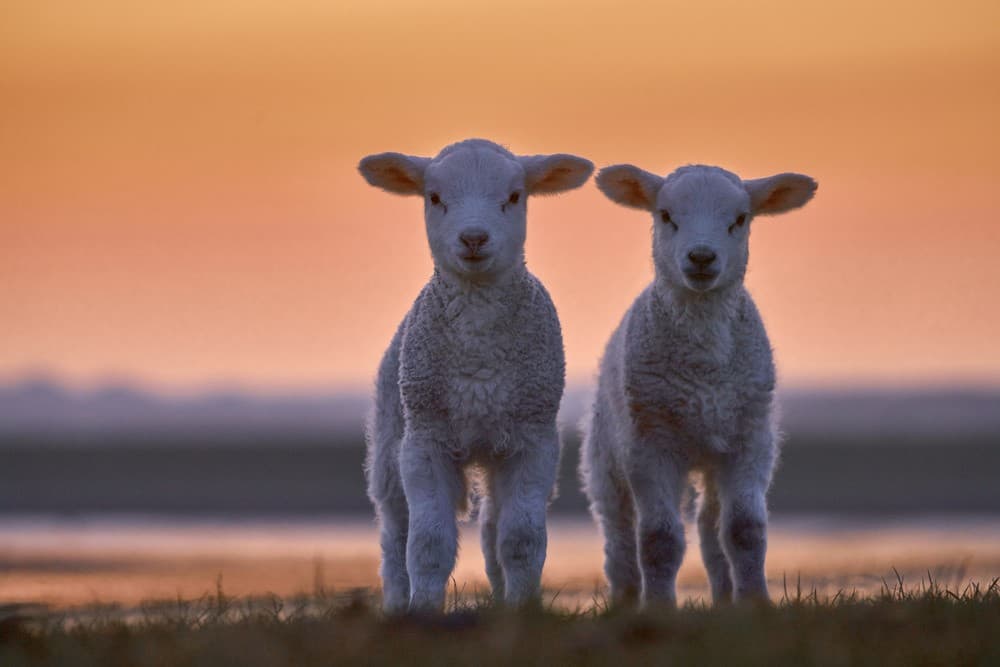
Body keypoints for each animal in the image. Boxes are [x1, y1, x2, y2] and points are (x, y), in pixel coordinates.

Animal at [358, 138, 594, 613]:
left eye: (515, 196)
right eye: (434, 197)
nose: (473, 238)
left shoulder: (533, 440)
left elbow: (521, 540)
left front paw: (522, 610)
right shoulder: (424, 441)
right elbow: (427, 544)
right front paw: (423, 612)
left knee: (491, 528)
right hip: (390, 445)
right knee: (394, 535)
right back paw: (396, 603)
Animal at [580, 163, 817, 607]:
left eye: (740, 219)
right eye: (665, 215)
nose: (702, 257)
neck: (703, 369)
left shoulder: (750, 440)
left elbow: (744, 531)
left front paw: (755, 603)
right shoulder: (649, 444)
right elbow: (659, 539)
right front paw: (658, 607)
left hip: (713, 454)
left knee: (711, 528)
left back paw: (724, 598)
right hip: (605, 455)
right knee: (618, 534)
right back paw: (624, 598)